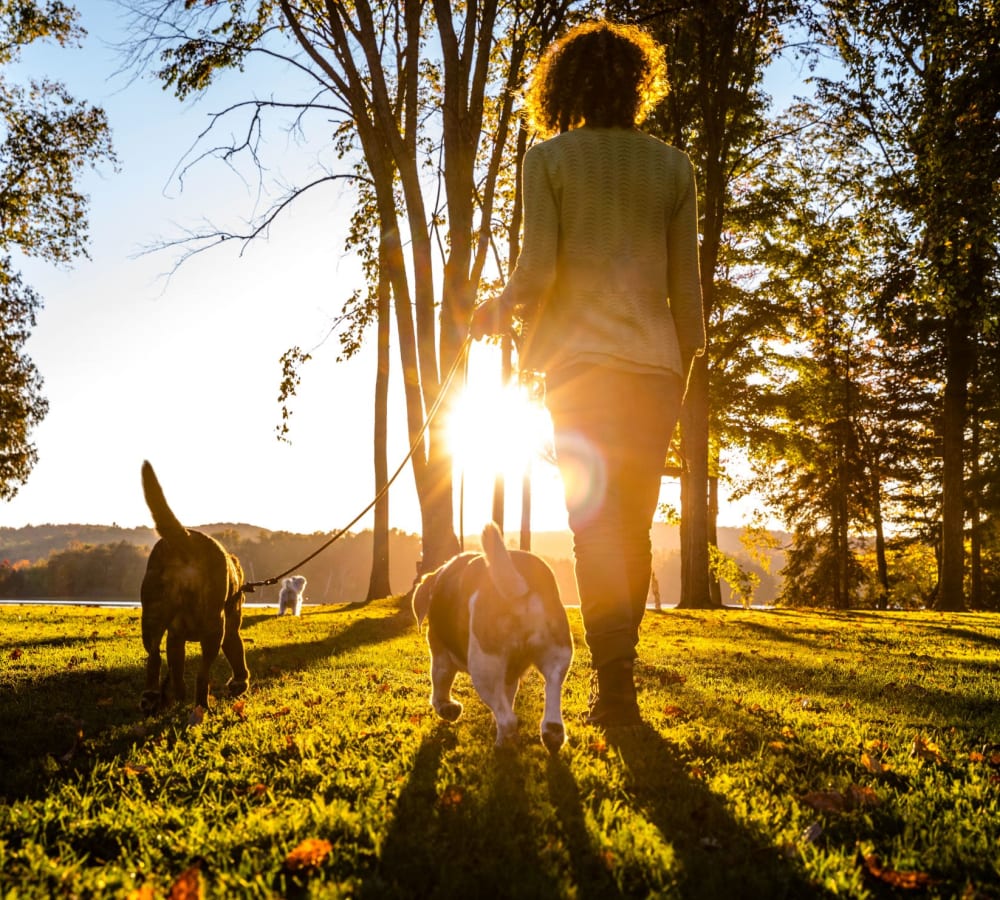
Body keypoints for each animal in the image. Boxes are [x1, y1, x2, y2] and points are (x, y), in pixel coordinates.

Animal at [140, 460, 249, 712]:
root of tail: (186, 539)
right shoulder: (230, 630)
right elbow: (237, 652)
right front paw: (240, 682)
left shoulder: (175, 637)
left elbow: (177, 673)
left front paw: (177, 698)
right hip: (214, 627)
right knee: (202, 674)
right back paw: (202, 706)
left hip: (152, 614)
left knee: (154, 657)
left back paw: (153, 695)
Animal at [412, 520, 572, 752]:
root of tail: (520, 584)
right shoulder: (510, 676)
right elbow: (509, 697)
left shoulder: (441, 656)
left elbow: (439, 687)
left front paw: (447, 708)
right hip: (557, 656)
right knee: (551, 688)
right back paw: (552, 734)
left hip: (484, 667)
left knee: (509, 720)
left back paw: (503, 745)